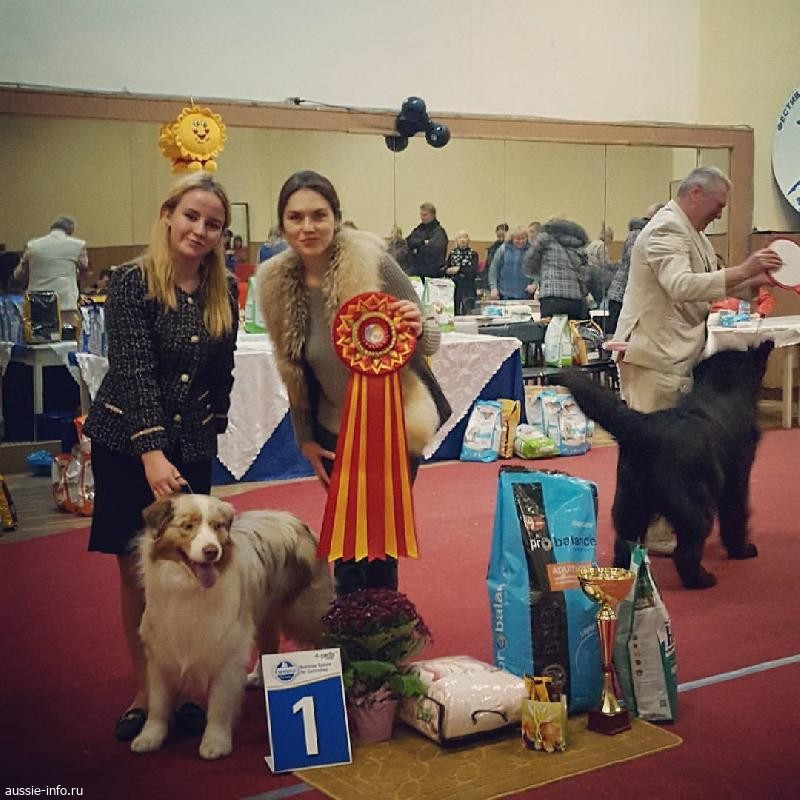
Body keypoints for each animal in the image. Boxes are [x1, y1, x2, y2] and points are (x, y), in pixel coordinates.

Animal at [130, 493, 333, 760]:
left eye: (217, 527)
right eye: (188, 526)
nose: (211, 551)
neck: (188, 588)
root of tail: (294, 519)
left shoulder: (226, 648)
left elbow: (220, 703)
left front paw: (215, 742)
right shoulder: (161, 651)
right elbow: (158, 702)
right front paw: (149, 737)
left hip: (302, 614)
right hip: (262, 613)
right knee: (269, 644)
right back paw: (258, 677)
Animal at [556, 342, 773, 589]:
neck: (722, 389)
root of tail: (645, 428)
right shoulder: (737, 479)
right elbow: (736, 514)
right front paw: (742, 550)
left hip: (630, 504)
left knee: (623, 544)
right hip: (694, 507)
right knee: (685, 551)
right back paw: (701, 579)